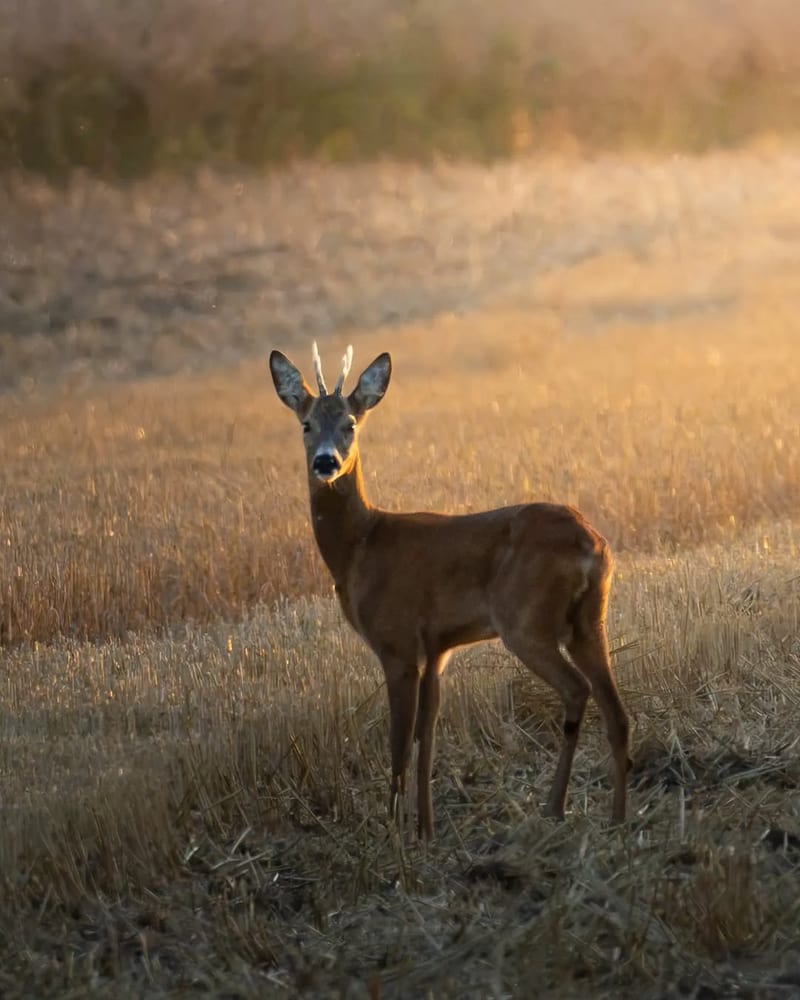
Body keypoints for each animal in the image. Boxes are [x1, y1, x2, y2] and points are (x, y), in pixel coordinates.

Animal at [269, 343, 631, 840]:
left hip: (526, 621)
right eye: (306, 424)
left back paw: (554, 808)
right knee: (617, 710)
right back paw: (617, 818)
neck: (360, 546)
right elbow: (428, 739)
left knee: (578, 690)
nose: (326, 462)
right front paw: (426, 829)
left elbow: (400, 742)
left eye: (351, 424)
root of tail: (592, 544)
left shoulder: (397, 642)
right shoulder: (437, 650)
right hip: (588, 620)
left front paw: (395, 831)